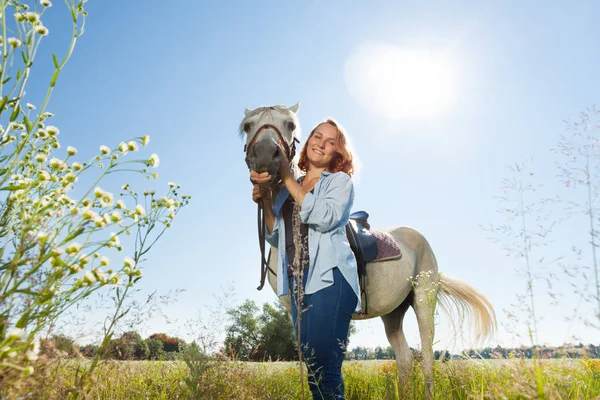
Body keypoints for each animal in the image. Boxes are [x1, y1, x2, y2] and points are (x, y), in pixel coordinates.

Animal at [239, 102, 496, 396]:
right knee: (405, 359)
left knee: (427, 357)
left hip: (423, 299)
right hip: (393, 313)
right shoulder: (293, 310)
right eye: (247, 126)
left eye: (290, 124)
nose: (264, 156)